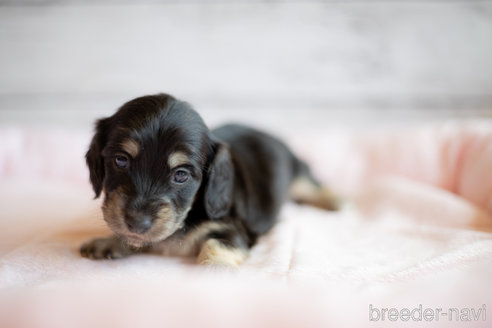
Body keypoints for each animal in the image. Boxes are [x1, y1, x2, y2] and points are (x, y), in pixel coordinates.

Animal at [80, 92, 342, 266]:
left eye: (181, 175)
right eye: (121, 160)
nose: (137, 223)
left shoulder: (232, 229)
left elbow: (216, 244)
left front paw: (216, 271)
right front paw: (110, 241)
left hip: (298, 172)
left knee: (311, 184)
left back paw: (336, 201)